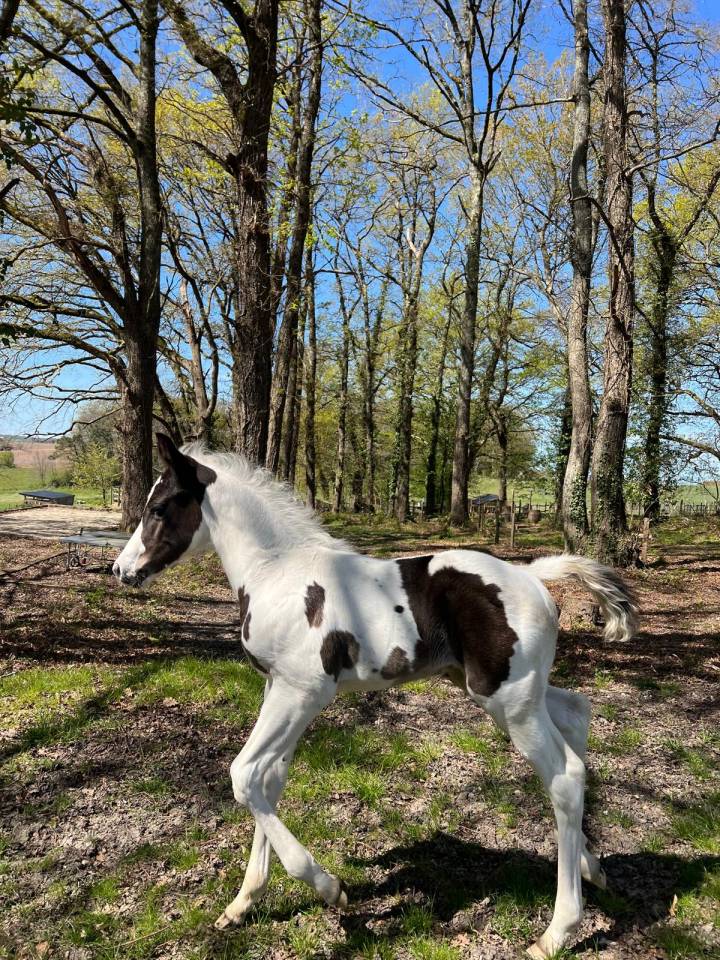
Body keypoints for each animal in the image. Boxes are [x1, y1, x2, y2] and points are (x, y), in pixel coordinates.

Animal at [113, 433, 638, 958]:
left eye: (159, 507)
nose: (122, 570)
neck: (277, 572)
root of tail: (533, 576)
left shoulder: (301, 693)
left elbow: (245, 776)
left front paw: (331, 889)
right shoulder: (276, 687)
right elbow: (269, 780)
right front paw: (244, 902)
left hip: (508, 700)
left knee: (564, 776)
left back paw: (557, 931)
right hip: (509, 690)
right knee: (576, 715)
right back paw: (593, 867)